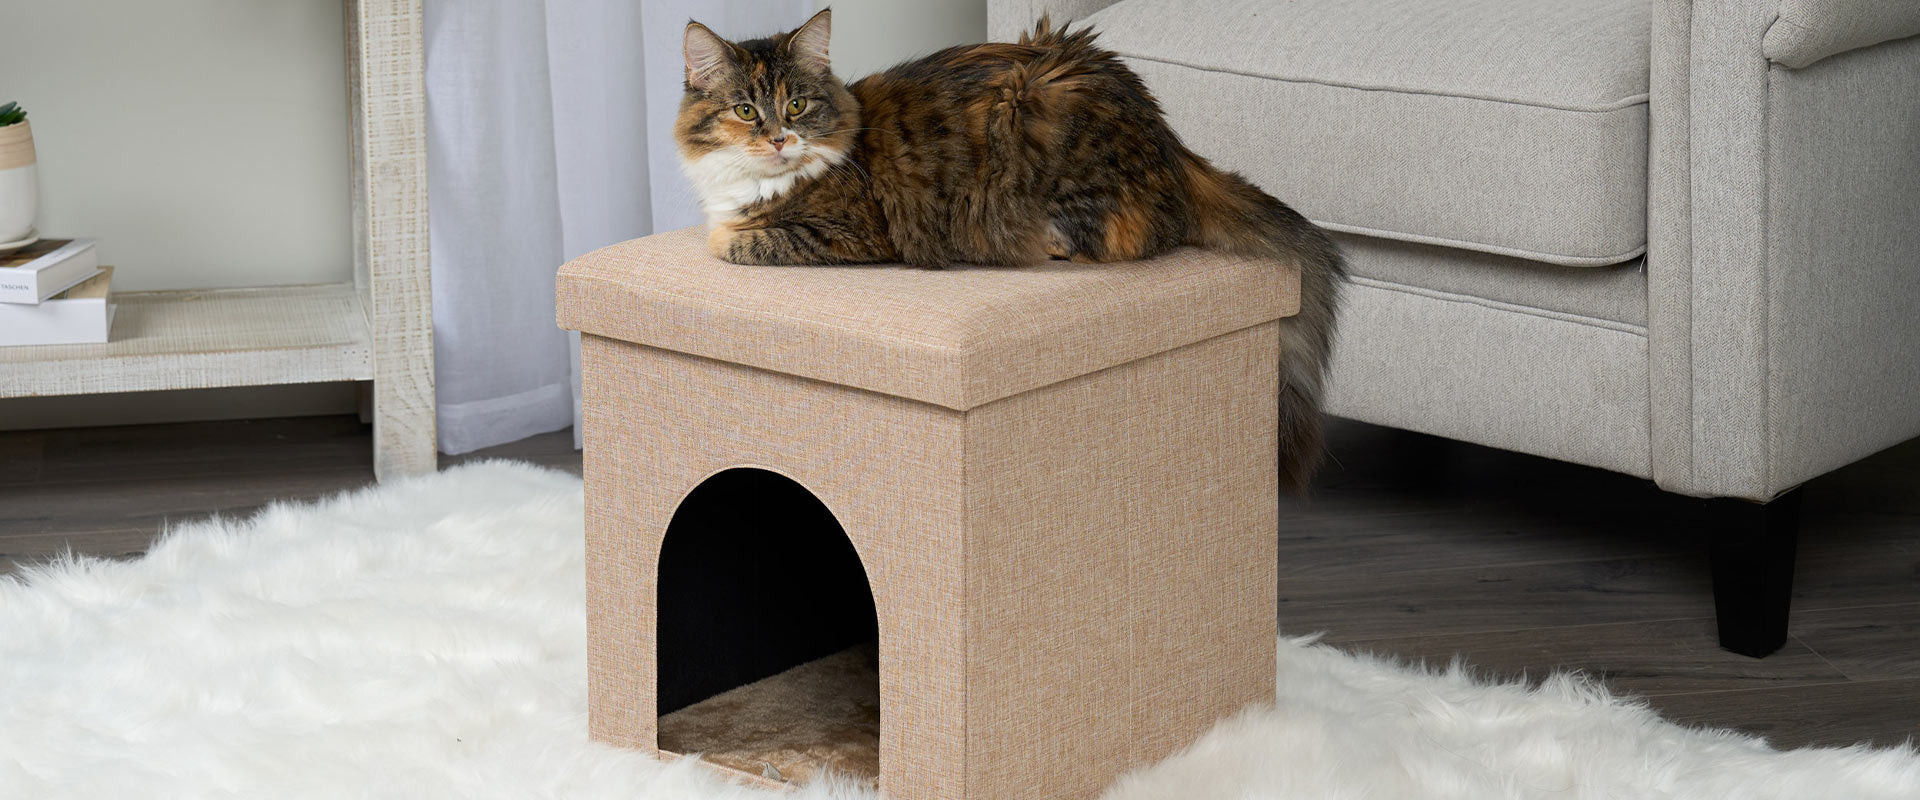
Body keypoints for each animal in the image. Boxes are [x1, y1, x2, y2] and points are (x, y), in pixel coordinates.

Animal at [683, 9, 1344, 489]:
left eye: (796, 104)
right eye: (746, 109)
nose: (778, 139)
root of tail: (1170, 144)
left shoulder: (851, 229)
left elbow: (730, 241)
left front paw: (727, 231)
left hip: (1038, 115)